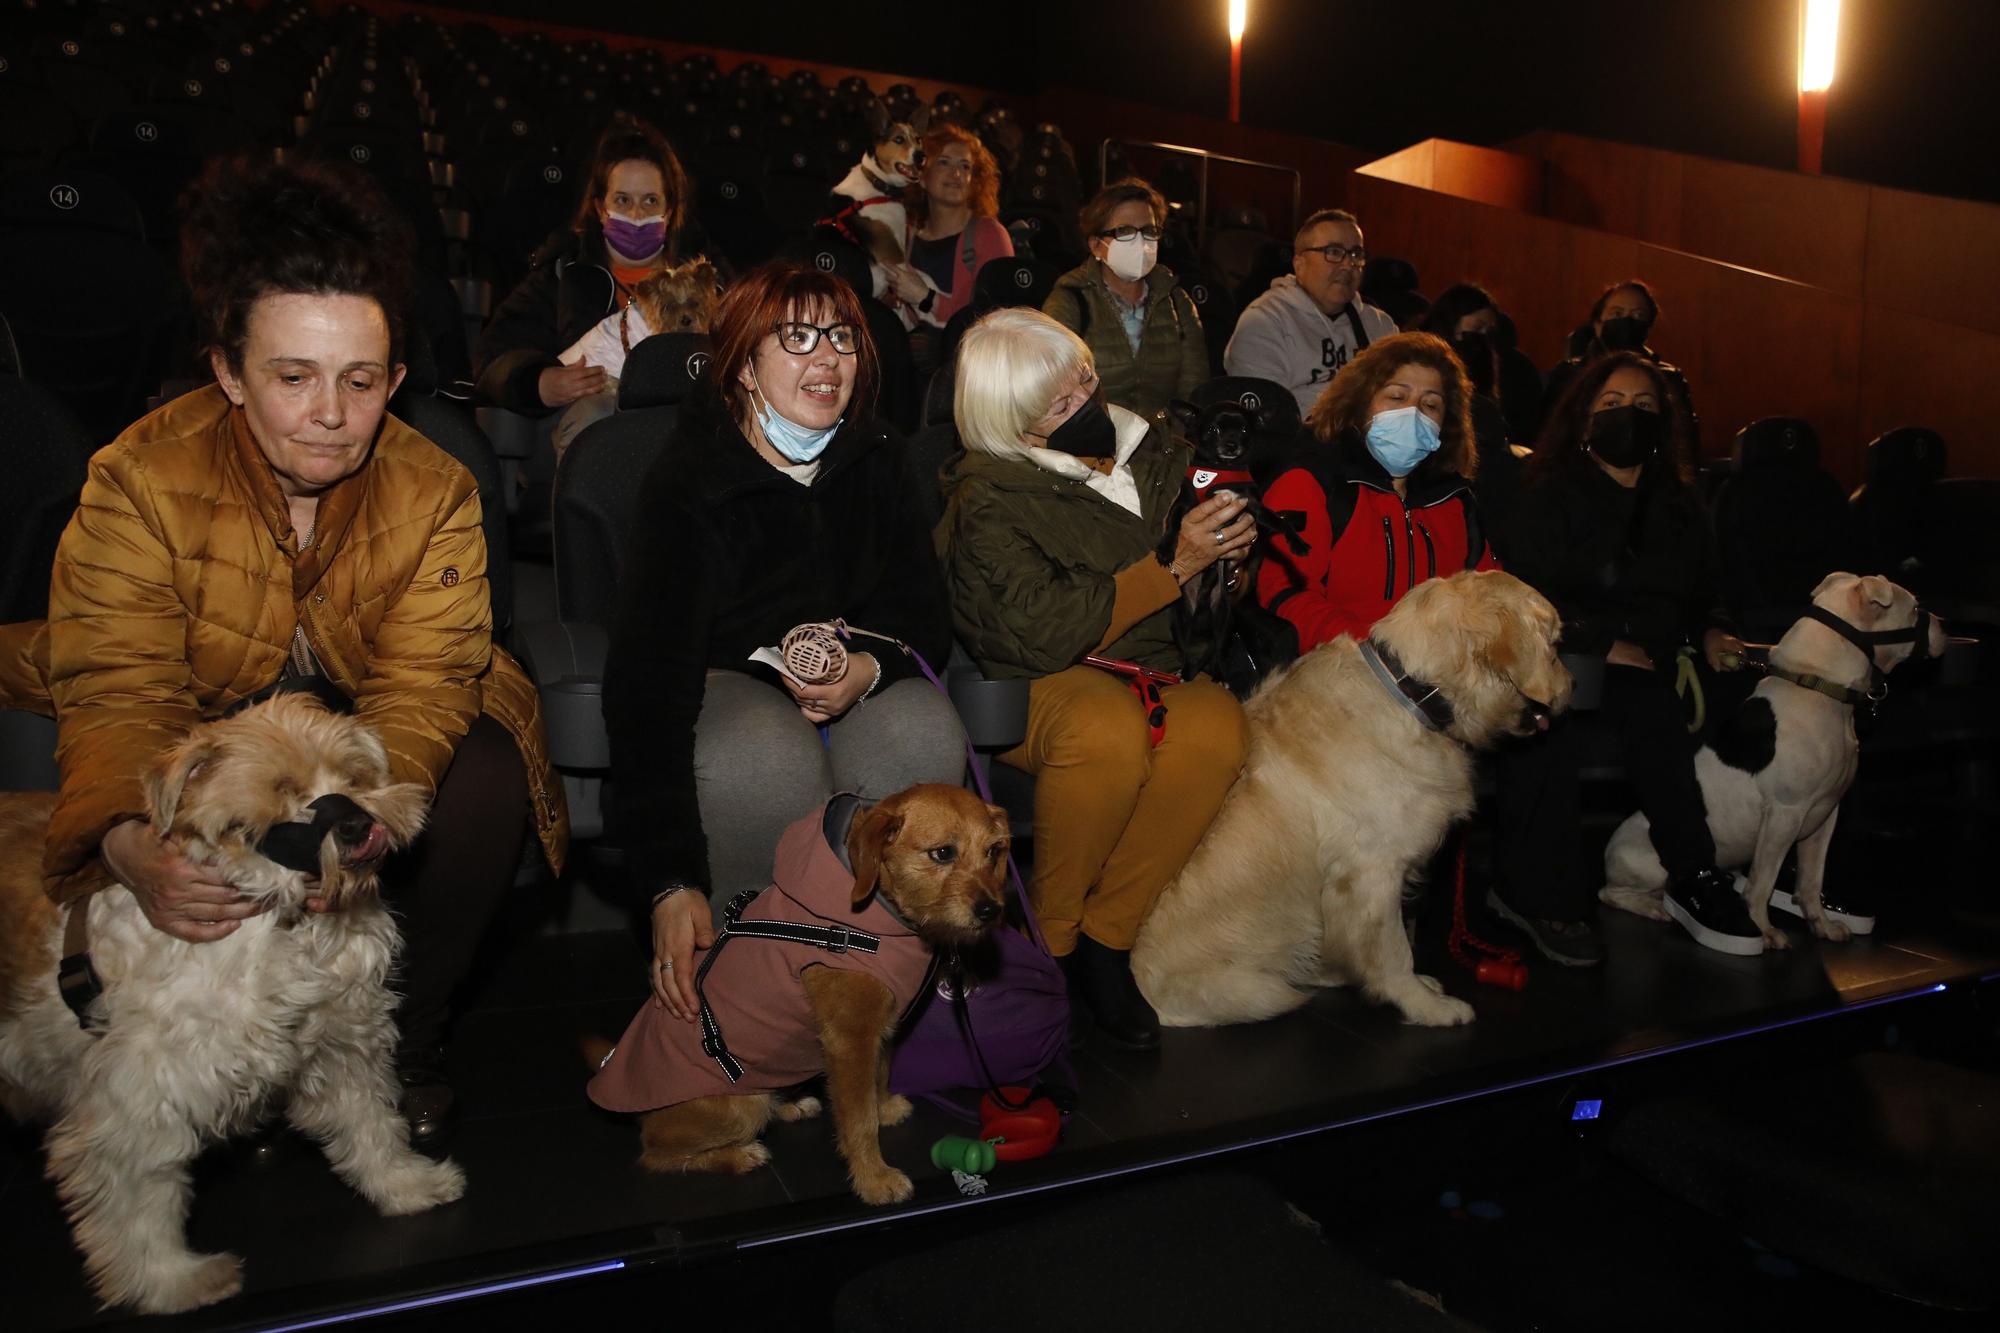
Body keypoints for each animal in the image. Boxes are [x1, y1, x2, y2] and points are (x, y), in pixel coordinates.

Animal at [0, 688, 464, 1312]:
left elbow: (372, 1126)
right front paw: (171, 1282)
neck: (283, 925)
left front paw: (406, 1185)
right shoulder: (135, 1109)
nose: (355, 823)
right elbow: (139, 1209)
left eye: (354, 777)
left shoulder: (341, 1051)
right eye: (281, 790)